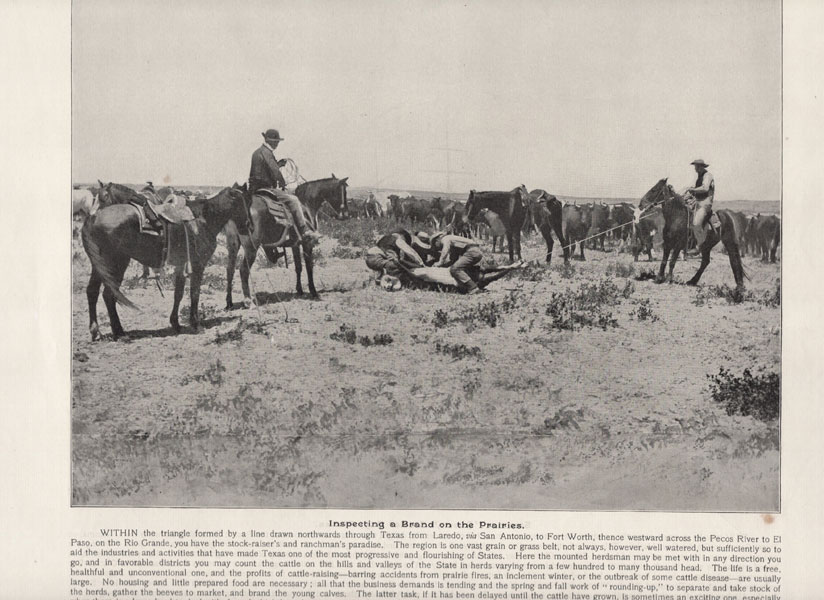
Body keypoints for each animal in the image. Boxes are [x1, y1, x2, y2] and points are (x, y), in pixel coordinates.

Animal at [84, 185, 253, 340]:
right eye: (241, 202)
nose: (249, 225)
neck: (204, 219)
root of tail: (93, 219)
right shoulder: (198, 266)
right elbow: (194, 293)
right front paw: (195, 324)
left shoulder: (181, 266)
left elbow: (178, 294)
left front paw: (176, 324)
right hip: (116, 263)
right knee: (108, 295)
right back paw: (119, 332)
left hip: (99, 266)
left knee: (92, 291)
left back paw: (96, 331)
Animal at [222, 172, 348, 304]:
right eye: (344, 192)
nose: (345, 215)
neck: (306, 205)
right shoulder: (307, 244)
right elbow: (309, 267)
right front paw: (313, 292)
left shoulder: (295, 244)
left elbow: (298, 267)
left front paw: (299, 290)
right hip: (251, 248)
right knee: (243, 270)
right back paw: (248, 301)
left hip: (233, 245)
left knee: (230, 269)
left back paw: (229, 302)